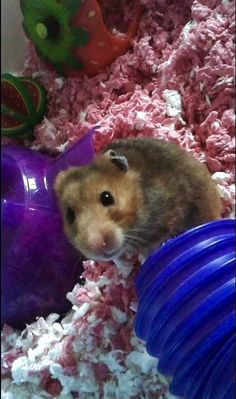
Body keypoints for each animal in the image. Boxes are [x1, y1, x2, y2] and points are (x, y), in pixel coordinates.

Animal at [54, 138, 222, 266]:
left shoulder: (165, 221)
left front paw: (142, 261)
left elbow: (150, 248)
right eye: (69, 215)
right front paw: (125, 267)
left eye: (107, 197)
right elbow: (116, 258)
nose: (96, 245)